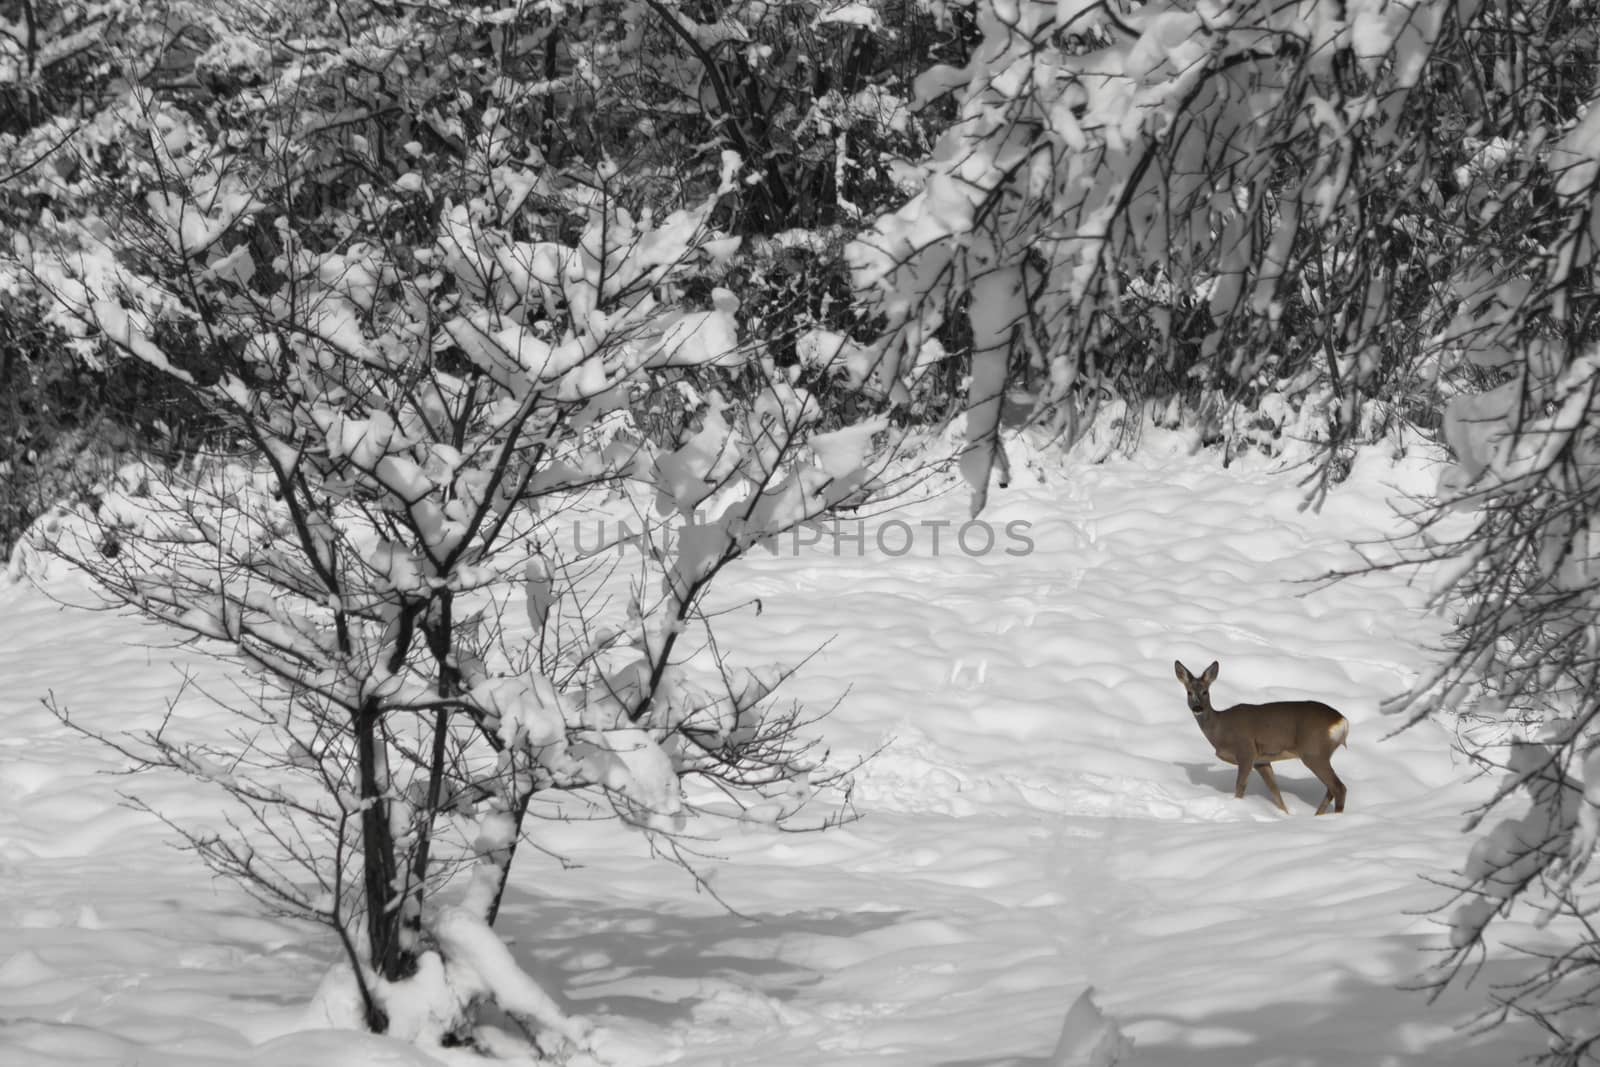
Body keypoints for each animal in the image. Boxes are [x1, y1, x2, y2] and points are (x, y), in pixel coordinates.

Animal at [1177, 659, 1350, 819]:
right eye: (1189, 692)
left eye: (1205, 691)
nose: (1197, 708)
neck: (1220, 729)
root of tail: (1342, 721)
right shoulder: (1261, 761)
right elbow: (1276, 793)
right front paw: (1284, 815)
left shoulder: (1246, 751)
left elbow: (1240, 787)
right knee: (1331, 788)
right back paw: (1318, 816)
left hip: (1314, 752)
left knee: (1339, 787)